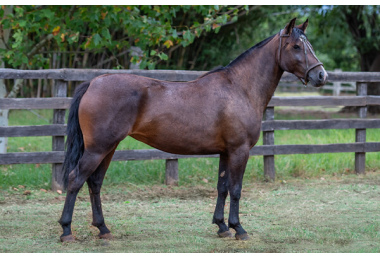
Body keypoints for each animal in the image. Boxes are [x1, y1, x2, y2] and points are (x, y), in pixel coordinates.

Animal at [58, 17, 326, 242]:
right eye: (296, 46)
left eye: (309, 44)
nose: (321, 75)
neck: (240, 88)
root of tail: (93, 82)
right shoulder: (239, 151)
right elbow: (236, 190)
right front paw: (239, 228)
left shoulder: (225, 152)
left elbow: (222, 187)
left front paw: (221, 226)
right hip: (98, 149)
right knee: (75, 180)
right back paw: (66, 231)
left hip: (108, 148)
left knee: (94, 183)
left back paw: (103, 229)